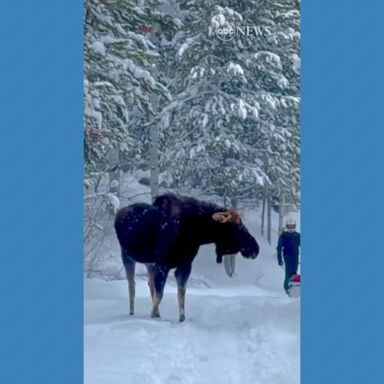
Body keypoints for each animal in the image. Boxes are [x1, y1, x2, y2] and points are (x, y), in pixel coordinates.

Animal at [113, 194, 258, 322]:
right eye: (237, 225)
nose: (255, 248)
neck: (194, 234)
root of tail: (118, 214)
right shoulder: (163, 264)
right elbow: (160, 294)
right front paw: (151, 317)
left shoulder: (185, 264)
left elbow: (181, 293)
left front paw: (181, 318)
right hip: (127, 255)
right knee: (132, 285)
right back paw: (132, 312)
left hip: (149, 262)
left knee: (149, 284)